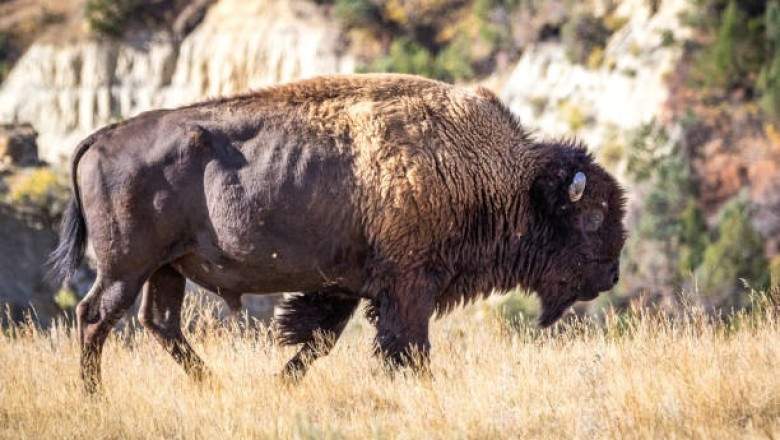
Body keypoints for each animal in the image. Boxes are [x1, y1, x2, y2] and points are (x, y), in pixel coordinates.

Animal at [49, 74, 626, 392]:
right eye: (593, 217)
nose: (612, 275)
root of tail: (102, 136)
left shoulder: (348, 287)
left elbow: (320, 340)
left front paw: (281, 383)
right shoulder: (409, 286)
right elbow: (407, 344)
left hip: (167, 268)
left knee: (160, 322)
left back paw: (210, 385)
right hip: (127, 267)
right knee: (95, 317)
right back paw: (94, 396)